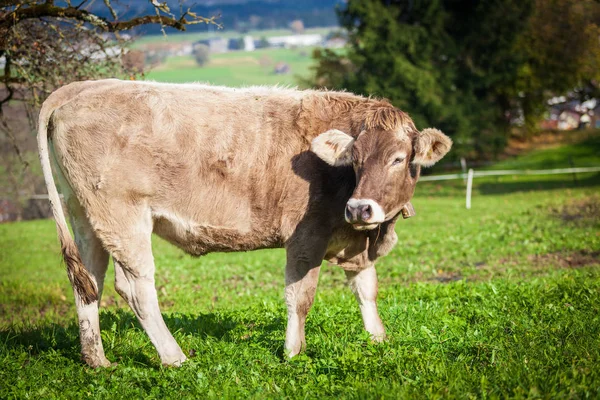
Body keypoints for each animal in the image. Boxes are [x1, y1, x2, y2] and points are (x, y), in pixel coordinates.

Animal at [37, 79, 450, 368]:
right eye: (356, 160)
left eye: (398, 158)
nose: (360, 208)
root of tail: (87, 85)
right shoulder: (307, 236)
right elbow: (300, 297)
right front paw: (293, 352)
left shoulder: (352, 240)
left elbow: (366, 288)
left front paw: (378, 339)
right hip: (123, 215)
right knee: (136, 287)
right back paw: (175, 358)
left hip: (85, 215)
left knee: (88, 283)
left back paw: (97, 360)